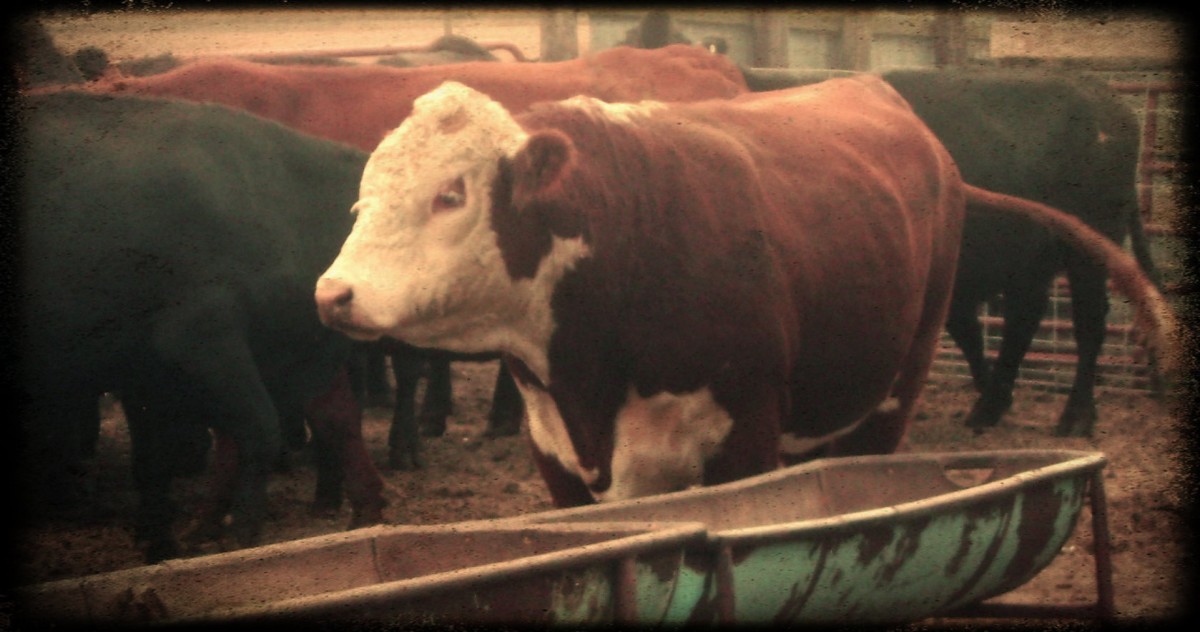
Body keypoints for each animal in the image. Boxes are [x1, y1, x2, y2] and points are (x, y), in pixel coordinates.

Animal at [18, 90, 381, 563]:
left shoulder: (145, 371)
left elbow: (152, 462)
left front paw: (160, 546)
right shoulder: (200, 343)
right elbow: (259, 429)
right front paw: (241, 533)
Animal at [739, 66, 1152, 438]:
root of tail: (1106, 99)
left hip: (1089, 251)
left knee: (1088, 324)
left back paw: (1075, 416)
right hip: (1027, 260)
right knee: (1020, 319)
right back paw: (992, 404)